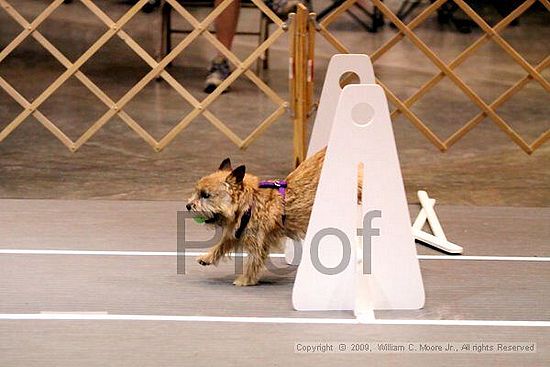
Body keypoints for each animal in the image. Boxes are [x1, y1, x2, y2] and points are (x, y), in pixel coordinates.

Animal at [189, 148, 328, 286]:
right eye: (197, 192)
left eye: (205, 195)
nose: (188, 205)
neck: (250, 203)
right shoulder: (236, 232)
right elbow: (222, 244)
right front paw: (207, 257)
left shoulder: (258, 240)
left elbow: (254, 260)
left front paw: (246, 279)